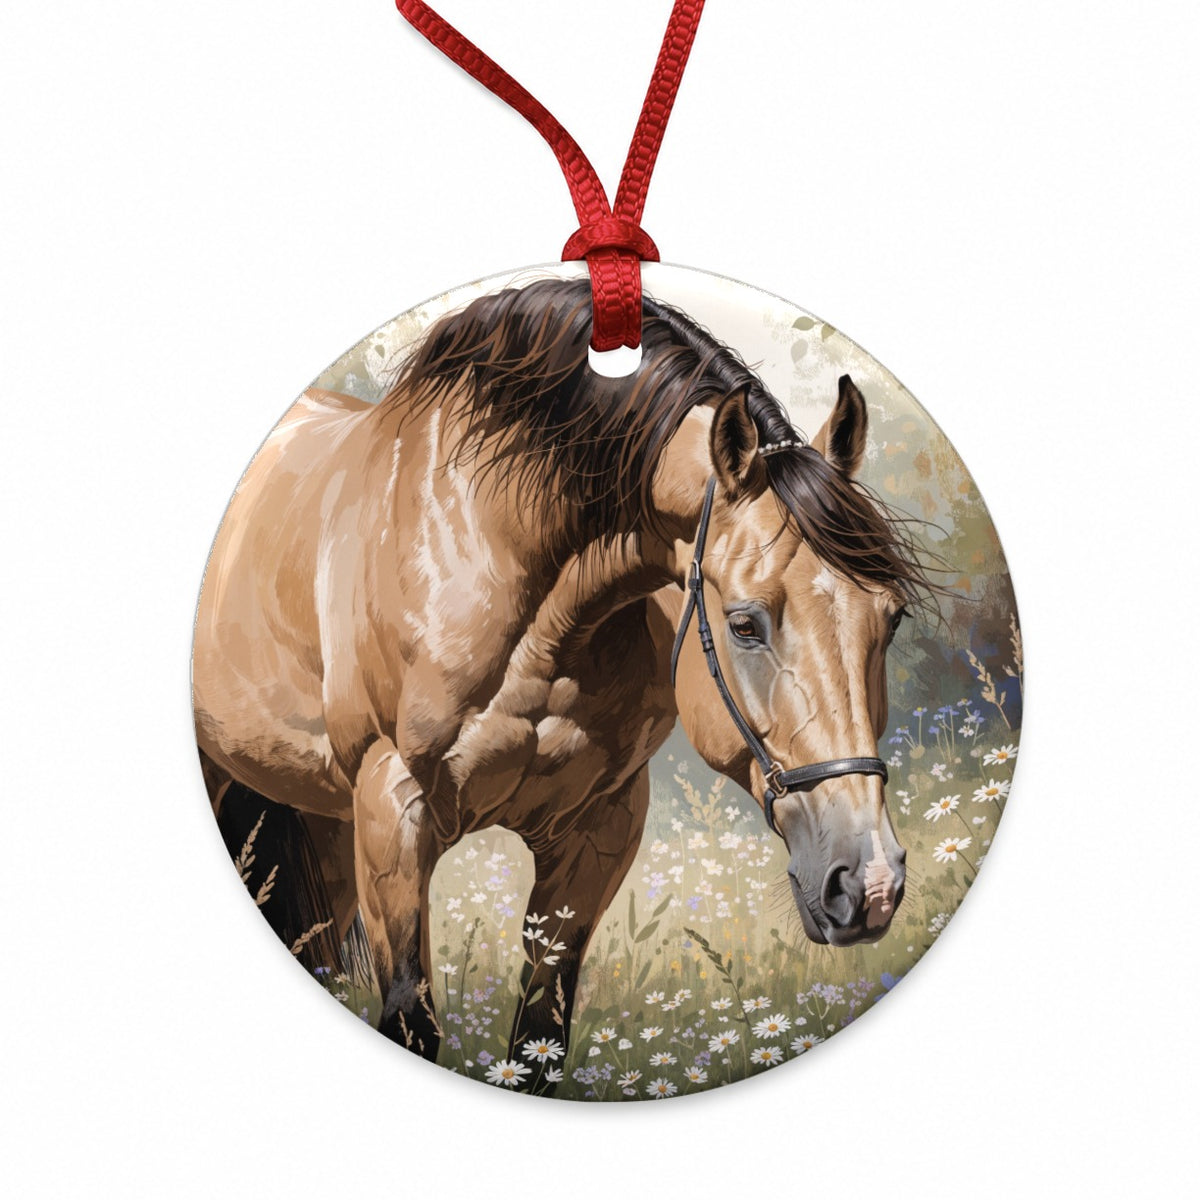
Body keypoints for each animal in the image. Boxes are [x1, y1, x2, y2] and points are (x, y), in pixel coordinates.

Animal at [193, 277, 930, 1083]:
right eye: (743, 624)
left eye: (891, 618)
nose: (869, 884)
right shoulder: (394, 813)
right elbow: (411, 1020)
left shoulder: (597, 830)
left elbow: (539, 1038)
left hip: (321, 817)